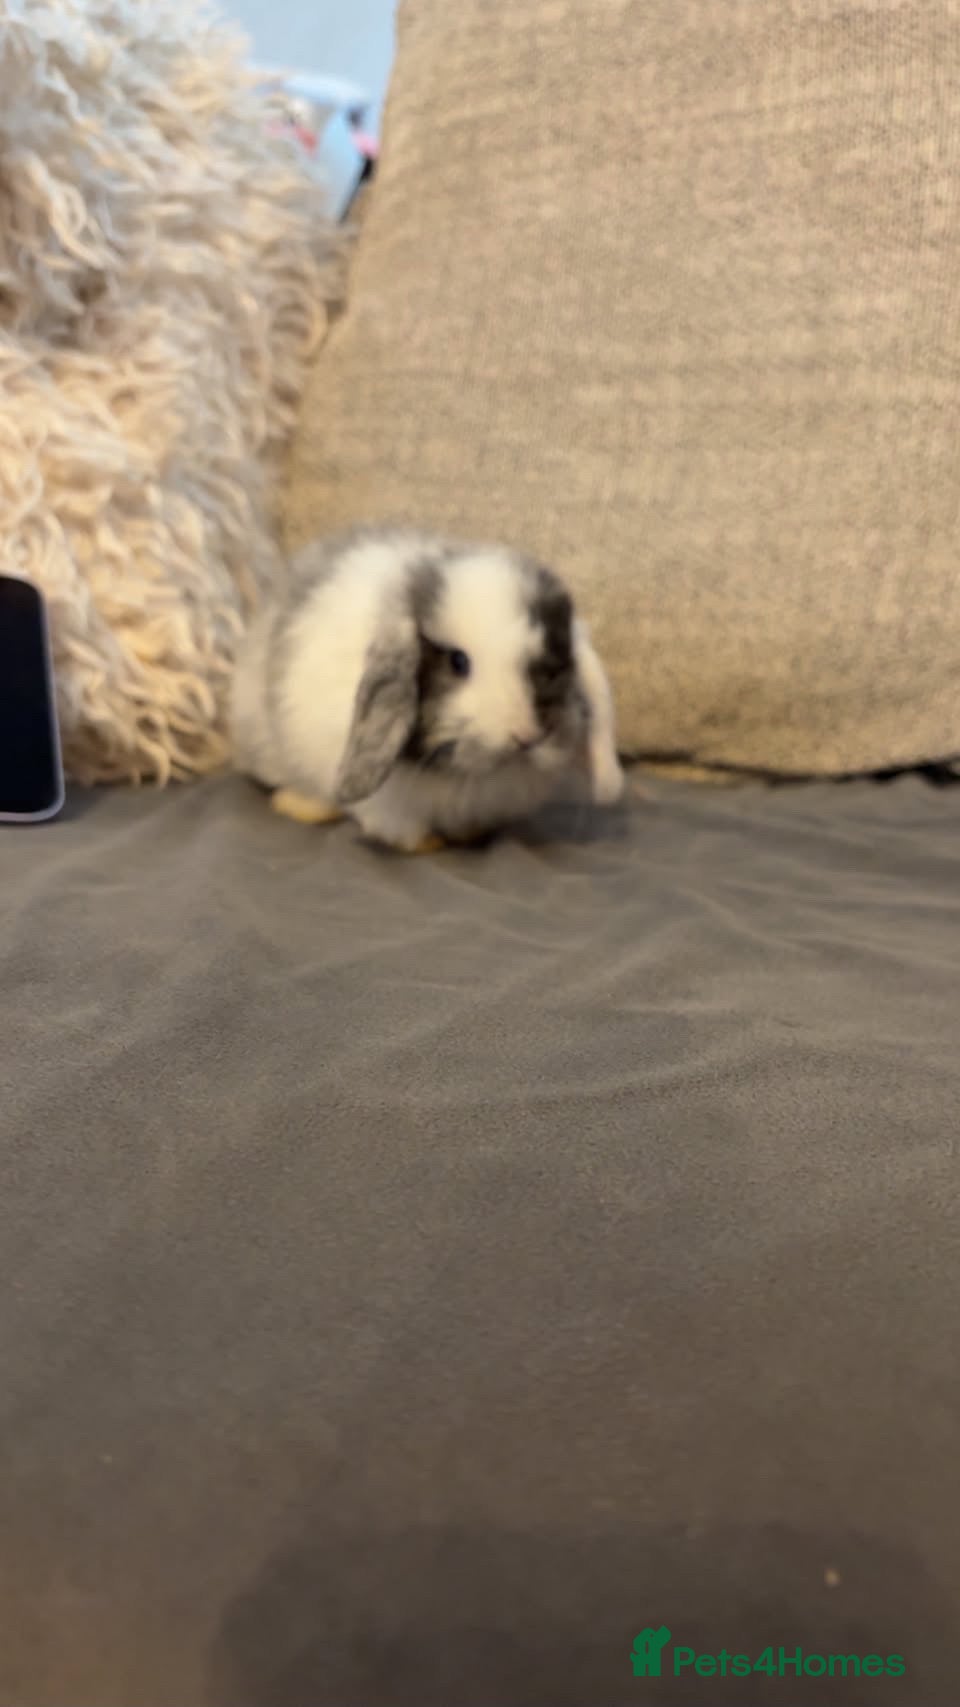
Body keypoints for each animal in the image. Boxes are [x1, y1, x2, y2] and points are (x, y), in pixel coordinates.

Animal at [230, 527, 625, 852]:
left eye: (554, 664)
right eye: (458, 662)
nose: (526, 736)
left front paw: (469, 834)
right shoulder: (386, 804)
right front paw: (427, 844)